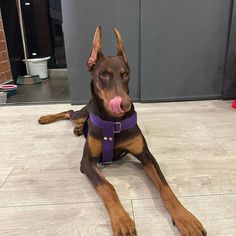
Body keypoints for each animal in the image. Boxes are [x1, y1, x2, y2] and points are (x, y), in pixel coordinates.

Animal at [38, 25, 206, 236]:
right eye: (104, 74)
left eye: (126, 75)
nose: (124, 105)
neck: (113, 123)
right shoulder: (86, 162)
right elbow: (107, 187)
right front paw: (122, 219)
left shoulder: (146, 156)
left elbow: (166, 188)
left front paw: (185, 217)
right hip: (82, 112)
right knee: (69, 113)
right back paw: (47, 118)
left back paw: (77, 129)